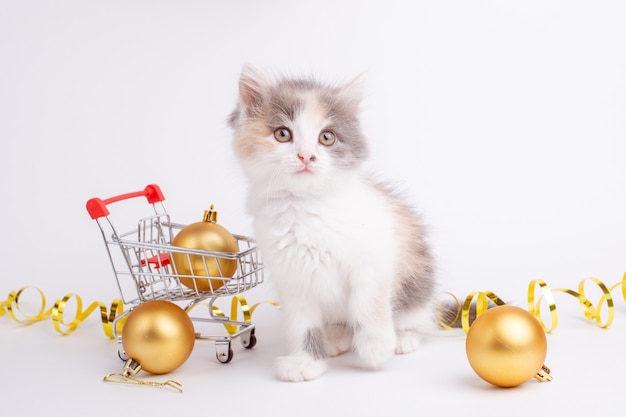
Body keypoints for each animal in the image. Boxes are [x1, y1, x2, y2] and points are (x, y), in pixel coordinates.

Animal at [229, 64, 438, 380]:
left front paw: (376, 347)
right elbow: (303, 325)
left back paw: (403, 338)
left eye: (326, 137)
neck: (306, 206)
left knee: (416, 318)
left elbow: (369, 303)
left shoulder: (373, 259)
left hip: (416, 280)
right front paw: (305, 363)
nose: (306, 155)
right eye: (282, 134)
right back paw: (336, 337)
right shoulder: (292, 277)